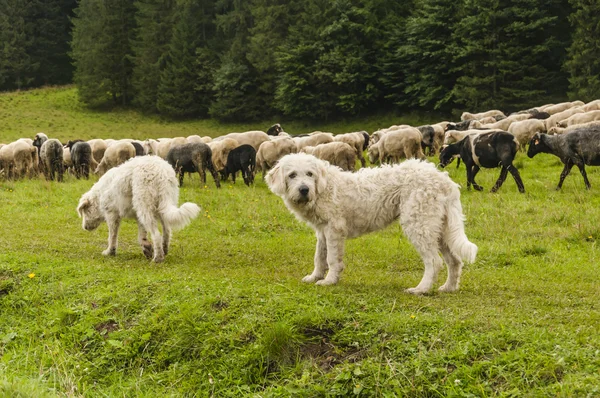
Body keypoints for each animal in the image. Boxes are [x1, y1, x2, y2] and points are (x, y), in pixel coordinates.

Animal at [268, 154, 478, 294]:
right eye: (292, 175)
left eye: (309, 174)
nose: (304, 189)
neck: (324, 187)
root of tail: (444, 180)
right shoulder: (322, 231)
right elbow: (319, 257)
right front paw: (315, 277)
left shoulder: (334, 229)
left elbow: (332, 259)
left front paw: (329, 281)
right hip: (439, 229)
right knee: (455, 261)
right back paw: (449, 288)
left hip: (419, 225)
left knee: (434, 262)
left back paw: (421, 289)